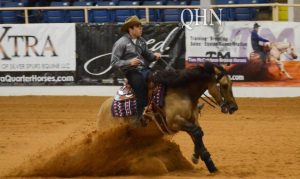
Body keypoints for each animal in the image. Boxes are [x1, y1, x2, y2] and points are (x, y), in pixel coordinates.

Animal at [97, 62, 238, 173]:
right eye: (224, 85)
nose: (234, 107)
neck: (183, 93)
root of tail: (101, 110)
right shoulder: (175, 122)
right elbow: (197, 132)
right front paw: (202, 158)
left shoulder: (191, 120)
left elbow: (198, 134)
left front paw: (204, 160)